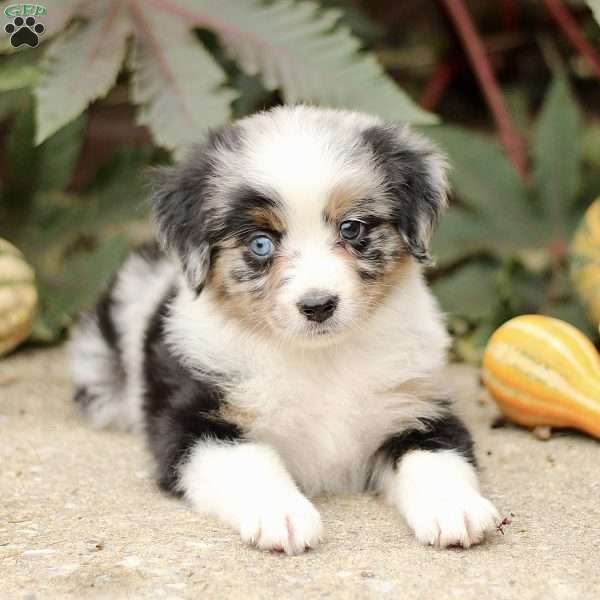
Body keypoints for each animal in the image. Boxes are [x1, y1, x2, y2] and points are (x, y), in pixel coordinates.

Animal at [69, 106, 502, 552]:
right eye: (261, 244)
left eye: (352, 228)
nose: (318, 306)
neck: (321, 359)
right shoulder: (194, 423)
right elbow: (247, 461)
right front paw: (282, 515)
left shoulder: (417, 404)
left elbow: (435, 456)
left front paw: (455, 508)